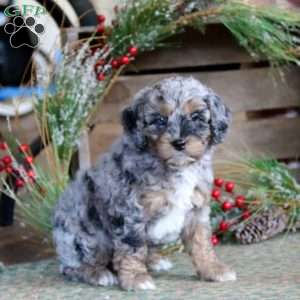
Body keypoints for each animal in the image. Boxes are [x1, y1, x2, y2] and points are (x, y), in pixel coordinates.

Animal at [52, 76, 236, 290]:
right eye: (159, 120)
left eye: (196, 117)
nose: (179, 143)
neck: (175, 166)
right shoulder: (131, 211)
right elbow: (133, 247)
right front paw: (136, 278)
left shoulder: (197, 210)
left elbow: (201, 243)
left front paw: (213, 269)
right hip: (84, 236)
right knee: (71, 266)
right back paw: (97, 273)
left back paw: (155, 261)